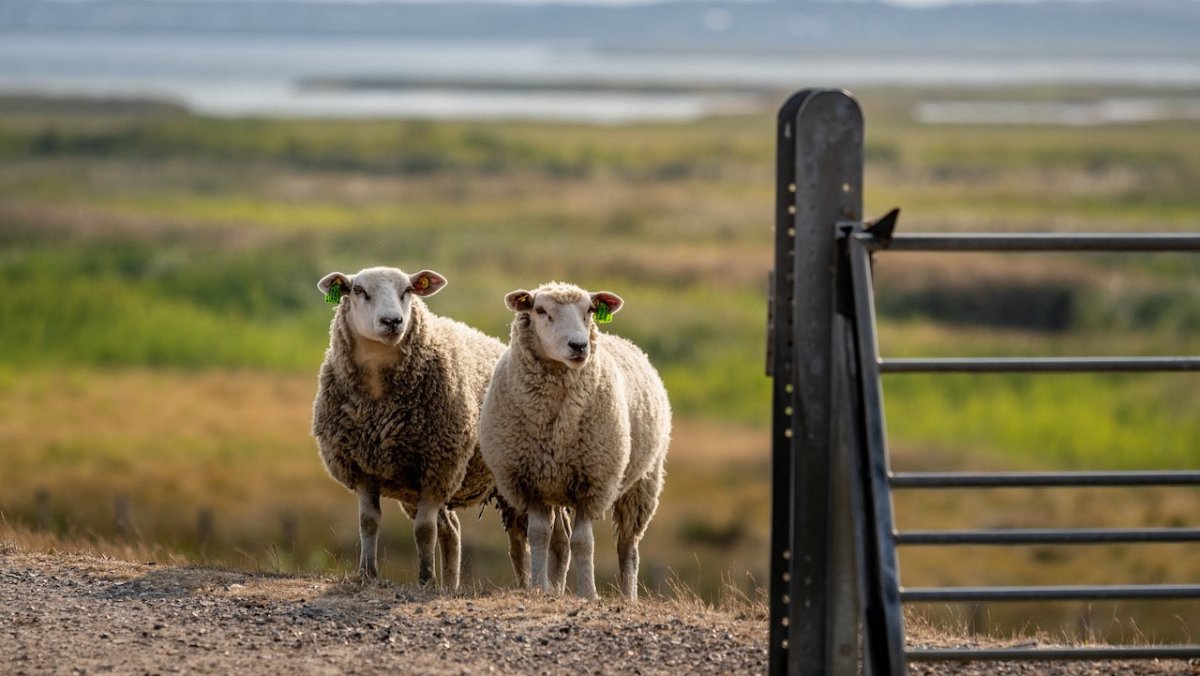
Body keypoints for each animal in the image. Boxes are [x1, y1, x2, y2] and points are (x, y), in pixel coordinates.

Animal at [312, 265, 561, 590]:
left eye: (408, 290)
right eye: (357, 290)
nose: (393, 321)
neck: (379, 405)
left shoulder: (437, 467)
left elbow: (424, 530)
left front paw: (426, 578)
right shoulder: (363, 465)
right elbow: (369, 522)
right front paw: (368, 573)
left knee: (551, 536)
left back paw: (548, 586)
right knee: (480, 533)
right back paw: (475, 584)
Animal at [479, 282, 671, 601]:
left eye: (590, 310)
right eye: (540, 310)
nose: (580, 346)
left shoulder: (593, 482)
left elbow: (583, 541)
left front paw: (588, 593)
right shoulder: (530, 480)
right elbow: (540, 536)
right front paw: (539, 588)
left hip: (643, 483)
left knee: (628, 546)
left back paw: (628, 596)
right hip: (555, 483)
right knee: (560, 540)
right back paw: (556, 587)